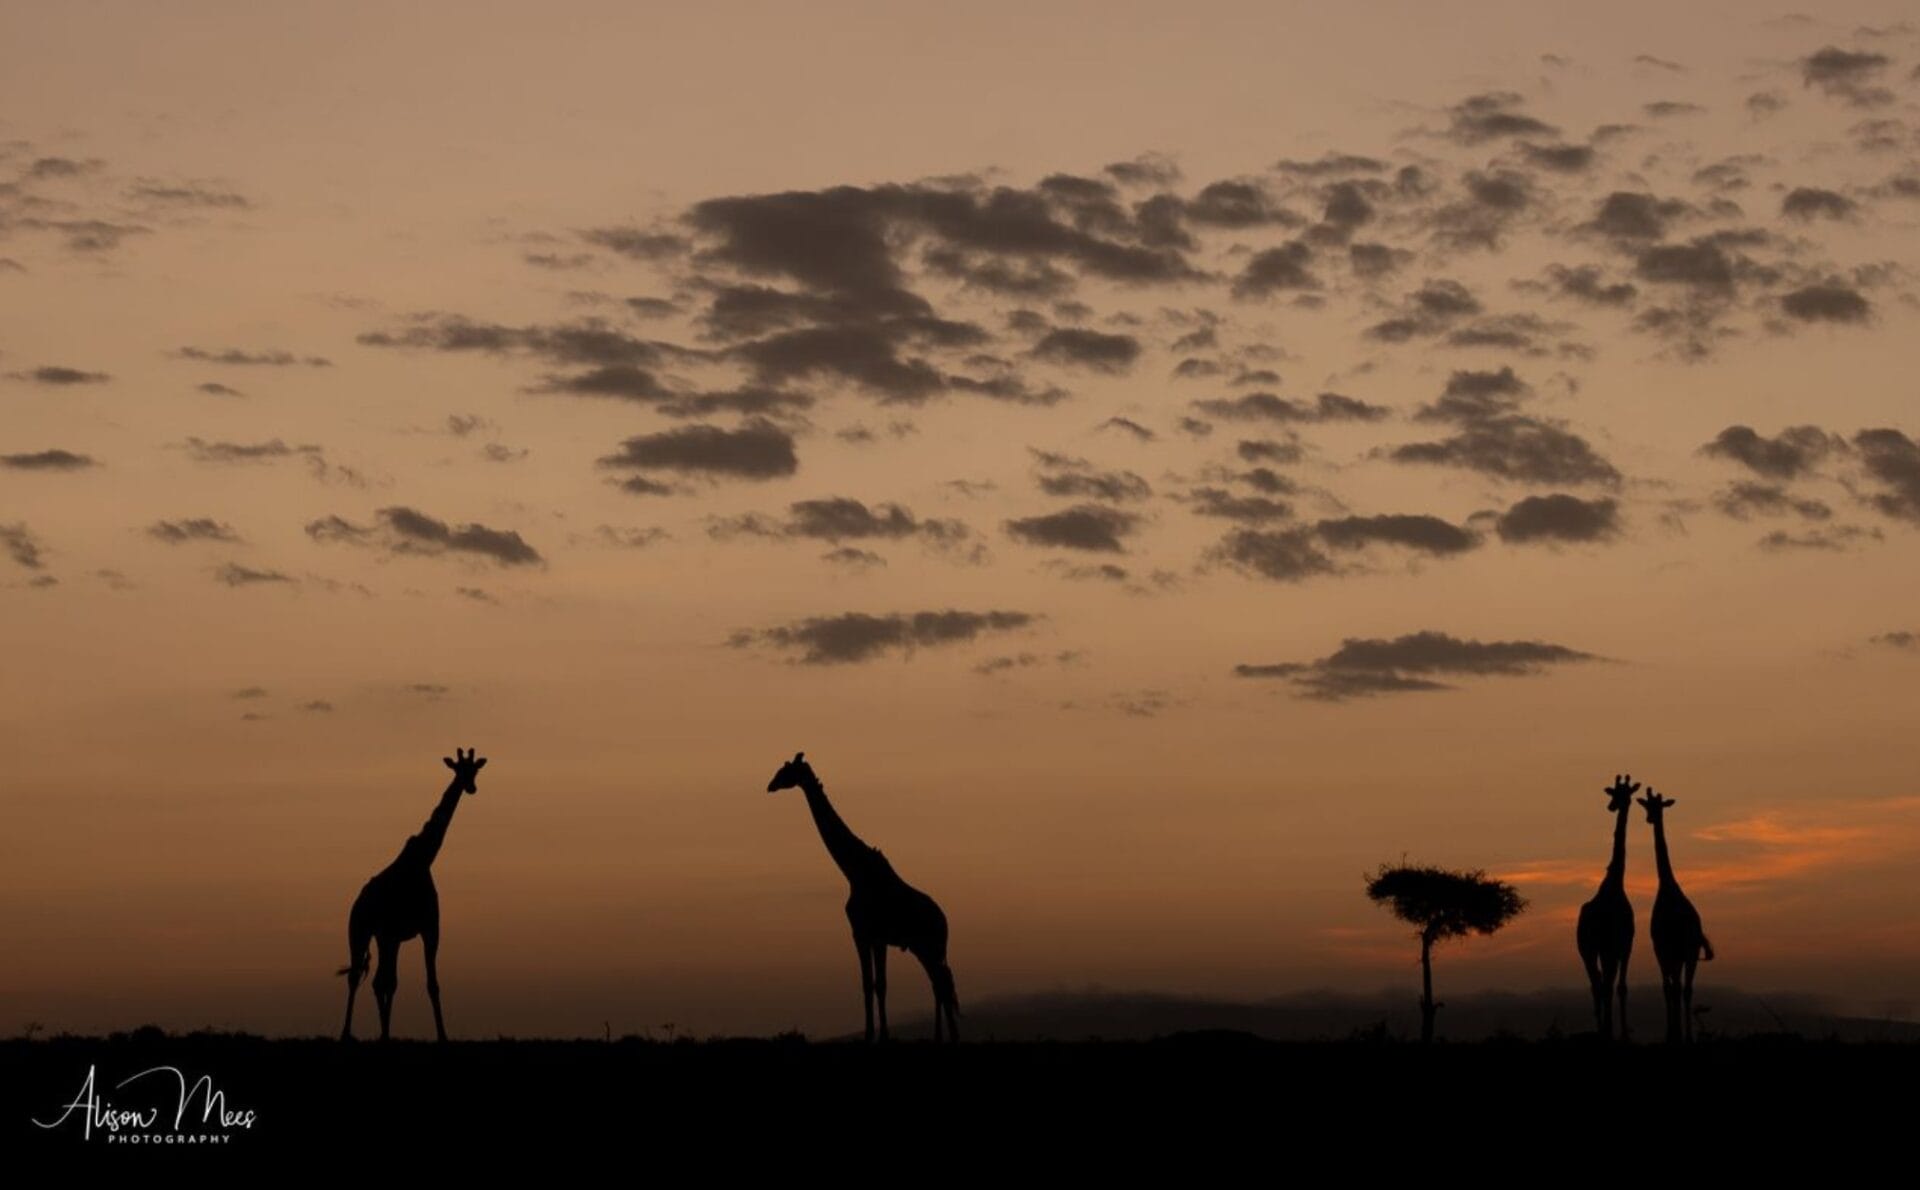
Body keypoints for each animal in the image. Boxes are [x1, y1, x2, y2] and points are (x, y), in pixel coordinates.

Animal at [339, 748, 487, 1042]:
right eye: (458, 769)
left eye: (474, 769)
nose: (471, 787)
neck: (423, 860)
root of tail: (357, 902)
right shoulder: (414, 929)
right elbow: (410, 983)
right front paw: (437, 1035)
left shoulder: (421, 929)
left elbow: (423, 983)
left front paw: (441, 1035)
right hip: (359, 930)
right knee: (357, 976)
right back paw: (346, 1033)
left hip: (384, 938)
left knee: (379, 980)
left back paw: (384, 1034)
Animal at [766, 752, 960, 1042]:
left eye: (786, 771)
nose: (770, 785)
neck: (854, 870)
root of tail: (944, 921)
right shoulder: (864, 934)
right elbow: (868, 985)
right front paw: (873, 1035)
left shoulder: (871, 935)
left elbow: (877, 985)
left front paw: (879, 1036)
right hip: (922, 948)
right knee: (939, 983)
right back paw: (942, 1037)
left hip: (931, 945)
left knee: (942, 983)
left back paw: (949, 1036)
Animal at [1640, 786, 1714, 1043]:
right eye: (1647, 805)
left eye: (1659, 806)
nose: (1650, 818)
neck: (1667, 888)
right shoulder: (1666, 951)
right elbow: (1670, 988)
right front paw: (1672, 1033)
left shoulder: (1664, 949)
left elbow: (1670, 988)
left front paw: (1673, 1033)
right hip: (1684, 954)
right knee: (1682, 987)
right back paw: (1683, 1033)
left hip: (1686, 952)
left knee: (1682, 988)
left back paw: (1684, 1034)